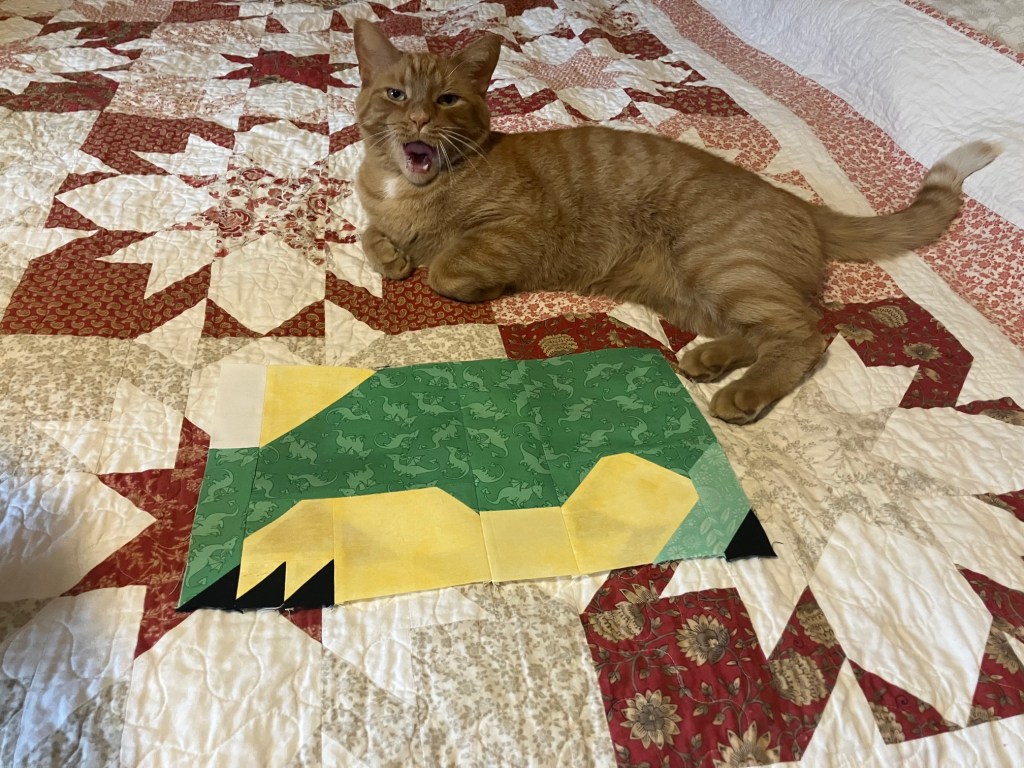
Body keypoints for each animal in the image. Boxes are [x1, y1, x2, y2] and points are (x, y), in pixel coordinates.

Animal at [351, 20, 997, 424]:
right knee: (766, 329)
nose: (417, 121)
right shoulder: (378, 214)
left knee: (805, 335)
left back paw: (743, 393)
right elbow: (369, 234)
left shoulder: (514, 228)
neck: (416, 189)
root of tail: (797, 201)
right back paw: (710, 359)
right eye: (396, 94)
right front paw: (391, 256)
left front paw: (460, 278)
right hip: (695, 292)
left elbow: (447, 268)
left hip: (719, 263)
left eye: (447, 101)